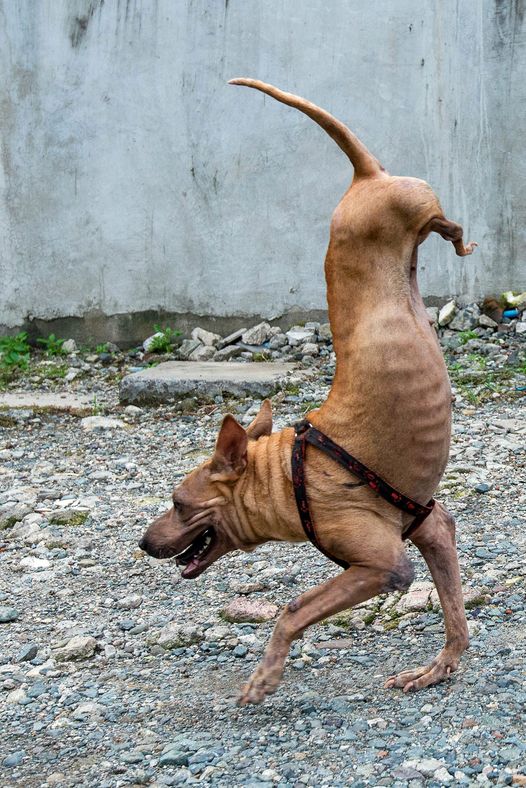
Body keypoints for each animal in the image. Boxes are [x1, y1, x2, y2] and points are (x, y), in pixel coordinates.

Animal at [138, 81, 476, 708]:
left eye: (179, 505)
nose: (144, 543)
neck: (287, 473)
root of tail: (364, 176)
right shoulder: (432, 529)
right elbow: (455, 619)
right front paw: (435, 669)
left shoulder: (385, 565)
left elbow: (293, 609)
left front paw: (265, 676)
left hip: (409, 204)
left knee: (445, 219)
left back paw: (458, 237)